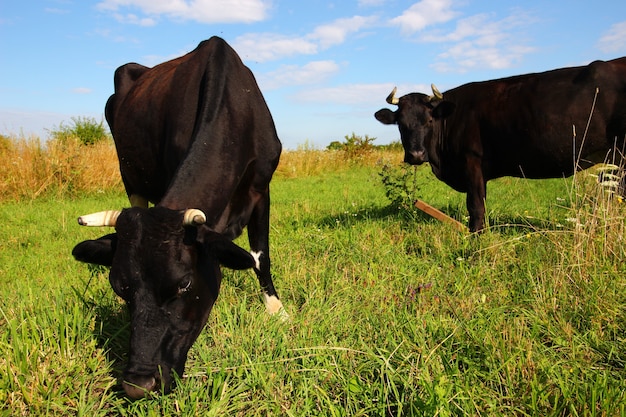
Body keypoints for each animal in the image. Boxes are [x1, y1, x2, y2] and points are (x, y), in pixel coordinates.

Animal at [70, 37, 282, 398]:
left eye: (184, 284)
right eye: (119, 289)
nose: (137, 385)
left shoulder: (261, 187)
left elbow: (260, 256)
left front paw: (277, 311)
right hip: (130, 176)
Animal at [372, 56, 624, 231]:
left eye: (429, 120)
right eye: (400, 123)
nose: (415, 154)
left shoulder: (472, 161)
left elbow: (475, 205)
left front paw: (476, 235)